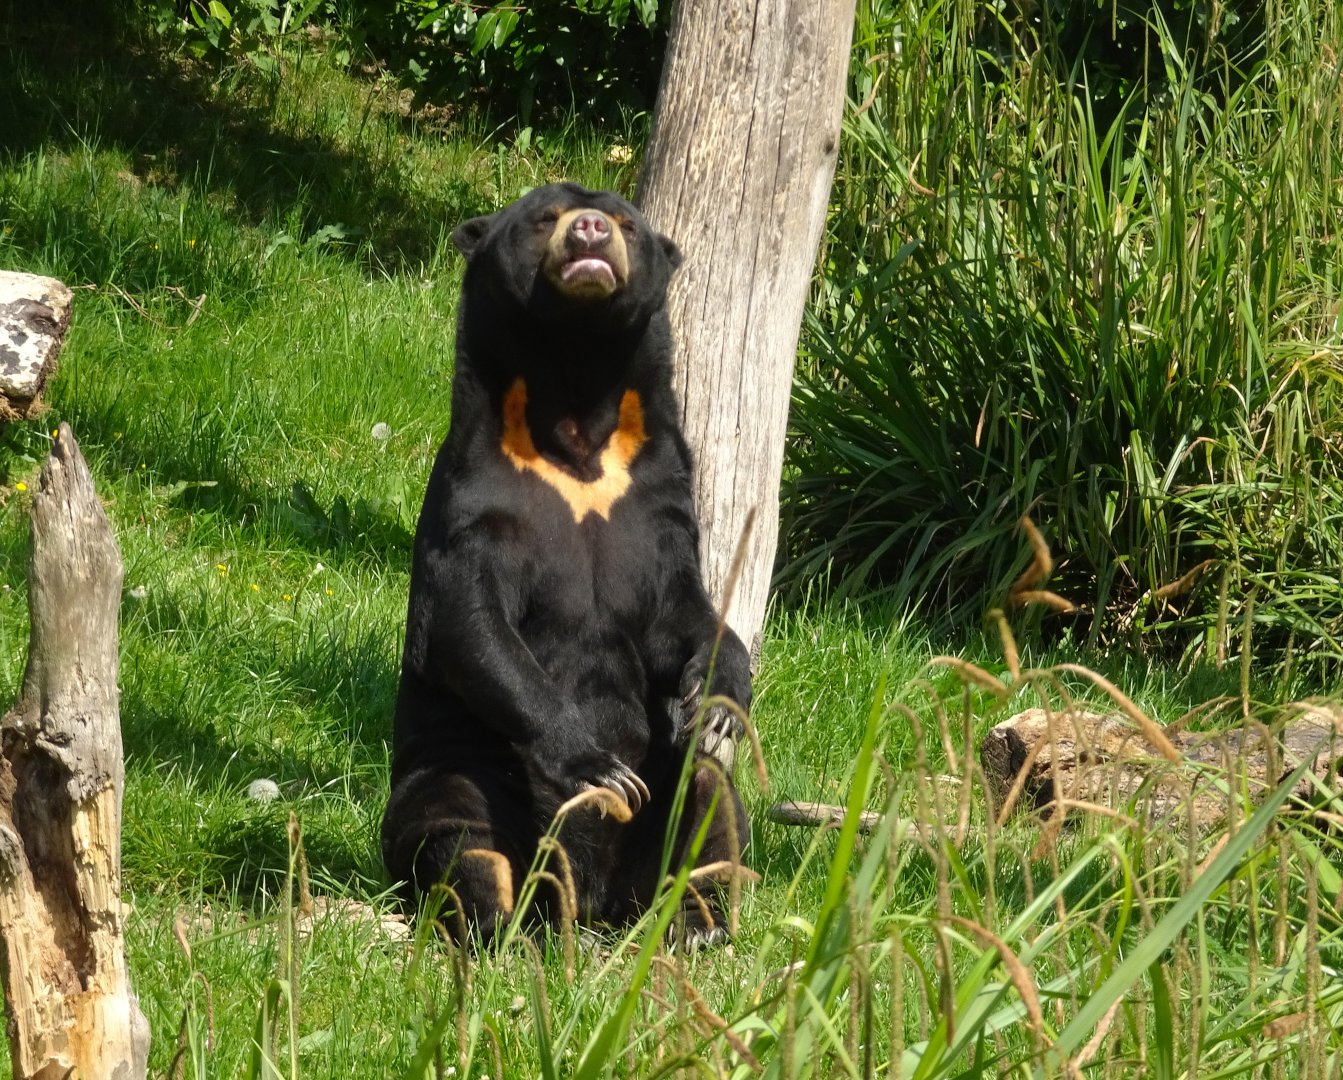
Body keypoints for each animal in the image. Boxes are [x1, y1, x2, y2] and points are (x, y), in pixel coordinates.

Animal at [380, 182, 754, 948]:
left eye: (627, 223)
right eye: (544, 217)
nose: (588, 231)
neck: (577, 420)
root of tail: (599, 904)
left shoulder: (658, 499)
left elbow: (683, 611)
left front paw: (717, 703)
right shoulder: (477, 498)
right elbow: (470, 622)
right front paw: (599, 767)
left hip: (666, 814)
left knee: (708, 803)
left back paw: (695, 921)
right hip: (462, 769)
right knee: (460, 832)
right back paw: (502, 922)